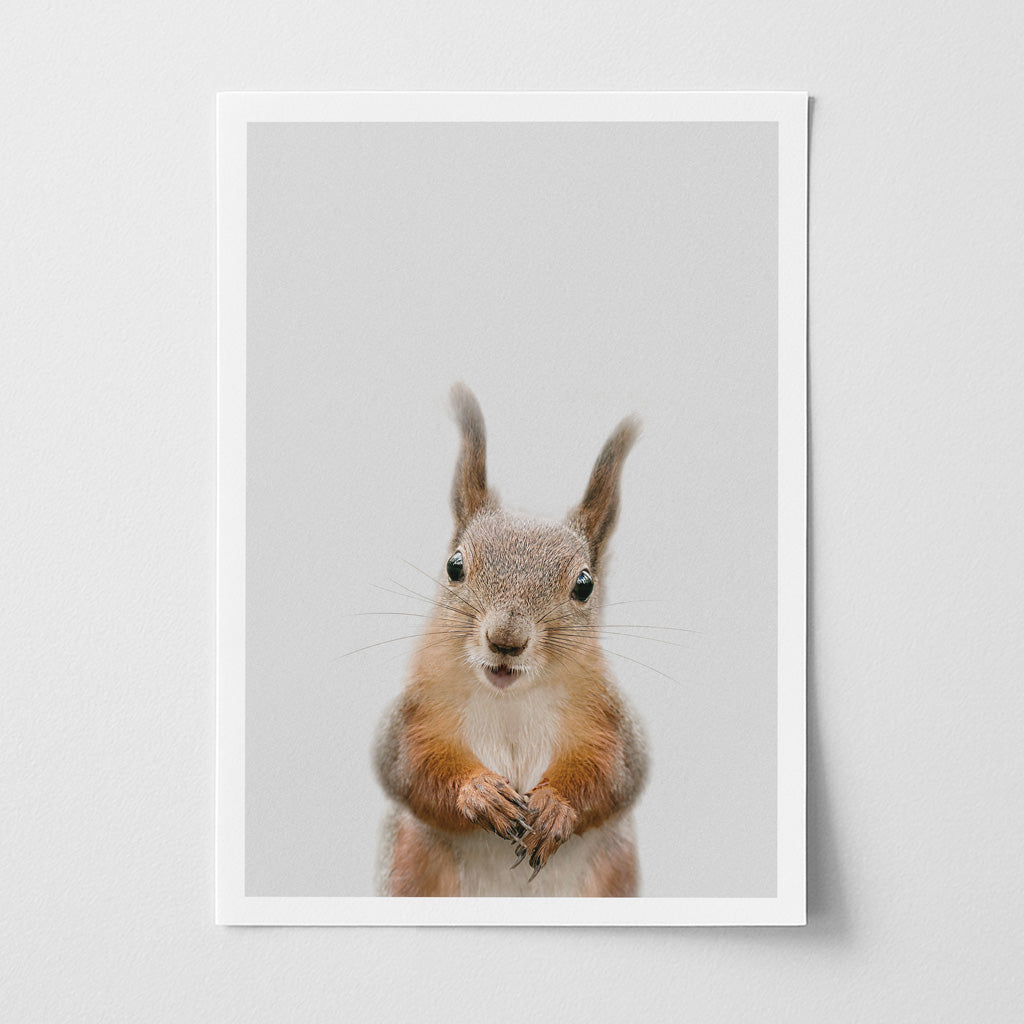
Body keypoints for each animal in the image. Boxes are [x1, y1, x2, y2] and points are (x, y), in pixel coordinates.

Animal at [374, 383, 648, 897]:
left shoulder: (610, 722)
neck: (511, 701)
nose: (505, 639)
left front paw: (556, 806)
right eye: (454, 566)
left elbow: (615, 774)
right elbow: (407, 766)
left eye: (584, 585)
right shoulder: (415, 714)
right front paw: (480, 793)